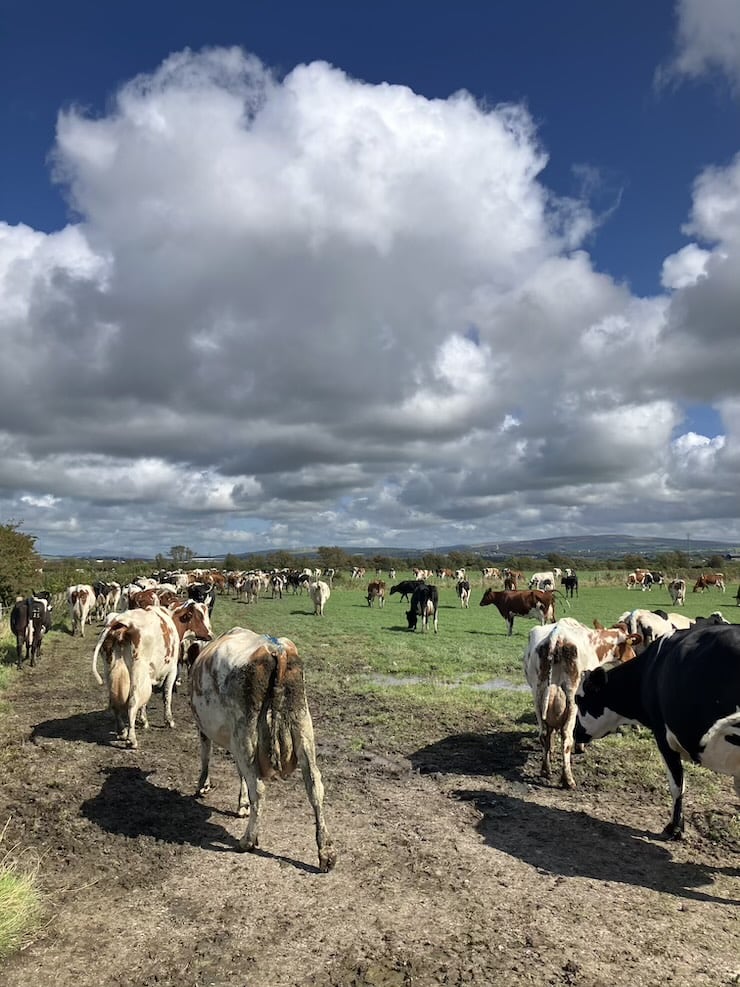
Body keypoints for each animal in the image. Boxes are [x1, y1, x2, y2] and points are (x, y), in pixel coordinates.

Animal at [92, 604, 212, 748]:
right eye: (199, 616)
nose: (211, 634)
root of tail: (121, 622)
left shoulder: (148, 676)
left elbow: (144, 702)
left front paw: (143, 720)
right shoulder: (171, 670)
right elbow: (167, 696)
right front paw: (169, 721)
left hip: (112, 670)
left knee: (114, 702)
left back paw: (122, 731)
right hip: (138, 671)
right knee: (132, 702)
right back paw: (131, 739)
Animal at [185, 628, 338, 868]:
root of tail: (276, 649)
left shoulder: (204, 729)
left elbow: (206, 757)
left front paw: (203, 786)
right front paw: (242, 804)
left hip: (245, 735)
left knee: (258, 788)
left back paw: (247, 840)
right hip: (303, 728)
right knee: (315, 786)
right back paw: (326, 852)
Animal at [520, 620, 640, 792]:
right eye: (630, 645)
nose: (634, 657)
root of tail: (556, 636)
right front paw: (580, 746)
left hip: (538, 694)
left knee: (543, 733)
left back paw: (545, 770)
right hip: (571, 697)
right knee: (566, 737)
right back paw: (568, 780)